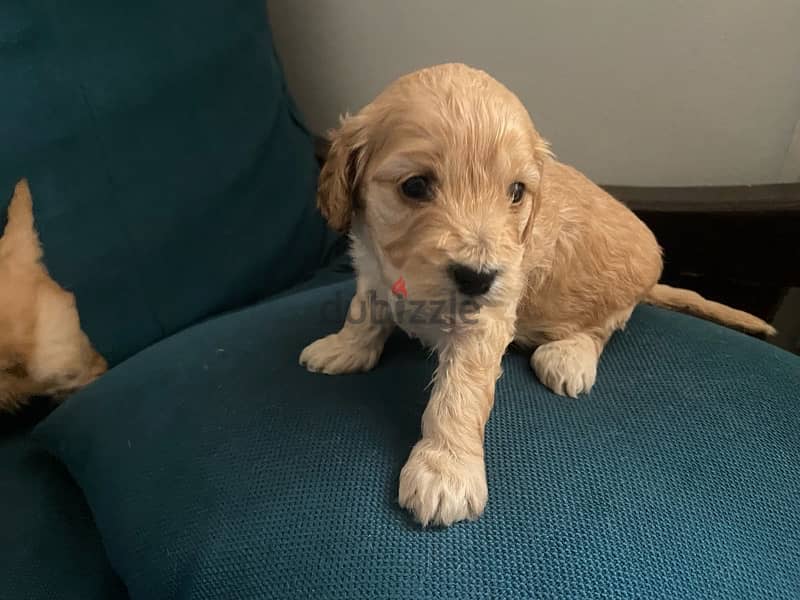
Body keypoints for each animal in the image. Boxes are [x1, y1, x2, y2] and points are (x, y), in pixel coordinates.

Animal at [300, 63, 776, 528]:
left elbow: (459, 391)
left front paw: (445, 469)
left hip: (614, 294)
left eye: (516, 192)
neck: (403, 276)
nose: (479, 277)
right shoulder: (374, 271)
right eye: (414, 186)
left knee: (601, 329)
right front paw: (344, 347)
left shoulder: (488, 314)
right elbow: (364, 310)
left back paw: (568, 355)